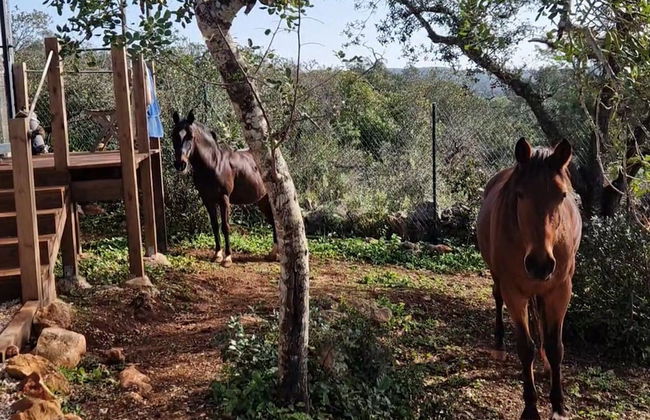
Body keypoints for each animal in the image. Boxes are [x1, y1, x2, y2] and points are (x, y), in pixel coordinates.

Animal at [171, 110, 277, 267]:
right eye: (174, 135)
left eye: (190, 136)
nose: (180, 164)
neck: (214, 164)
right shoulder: (208, 200)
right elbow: (215, 225)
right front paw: (217, 255)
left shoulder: (224, 199)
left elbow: (225, 226)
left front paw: (227, 258)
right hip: (262, 200)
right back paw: (273, 253)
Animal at [476, 138, 582, 420]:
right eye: (521, 194)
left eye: (562, 195)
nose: (540, 264)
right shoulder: (514, 291)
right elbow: (525, 348)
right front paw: (531, 407)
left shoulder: (560, 290)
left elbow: (556, 347)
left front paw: (558, 405)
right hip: (498, 278)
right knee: (497, 298)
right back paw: (500, 345)